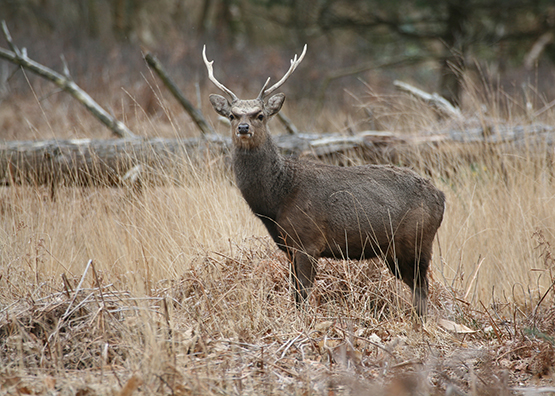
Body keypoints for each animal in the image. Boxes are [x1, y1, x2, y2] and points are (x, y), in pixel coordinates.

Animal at [202, 44, 446, 318]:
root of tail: (441, 197)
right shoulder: (288, 247)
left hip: (417, 239)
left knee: (422, 287)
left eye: (260, 115)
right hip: (395, 250)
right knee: (417, 287)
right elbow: (295, 294)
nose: (243, 128)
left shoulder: (308, 241)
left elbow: (304, 294)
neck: (278, 199)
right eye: (232, 115)